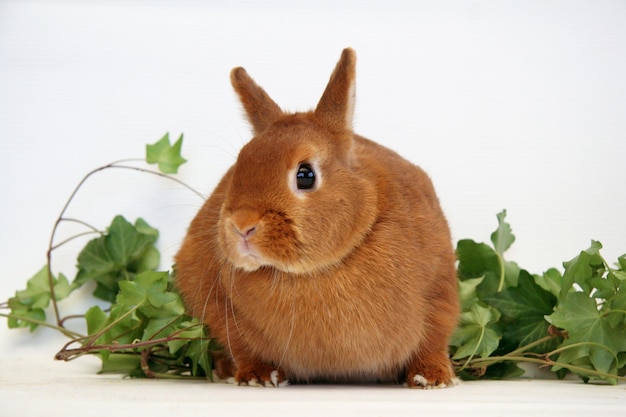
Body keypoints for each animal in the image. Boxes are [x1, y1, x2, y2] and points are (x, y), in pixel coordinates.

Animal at [173, 48, 456, 386]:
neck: (316, 271)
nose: (242, 226)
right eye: (238, 167)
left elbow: (434, 337)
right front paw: (258, 376)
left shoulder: (439, 286)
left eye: (305, 175)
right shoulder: (219, 306)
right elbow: (241, 346)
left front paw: (432, 377)